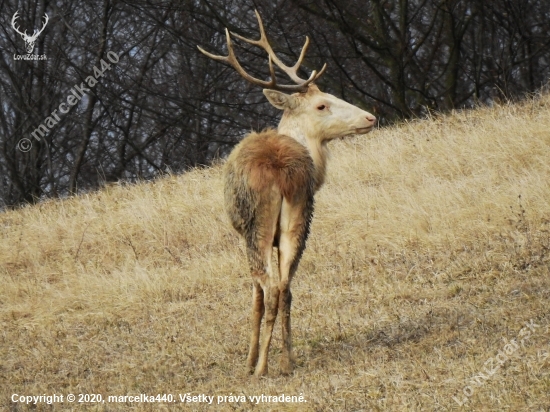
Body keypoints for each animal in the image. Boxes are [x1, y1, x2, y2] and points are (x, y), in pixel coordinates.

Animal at [199, 10, 380, 376]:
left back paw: (261, 368)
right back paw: (286, 361)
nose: (370, 116)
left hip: (257, 225)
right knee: (286, 286)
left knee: (269, 287)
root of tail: (281, 172)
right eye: (323, 104)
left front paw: (249, 360)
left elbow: (255, 297)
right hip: (301, 215)